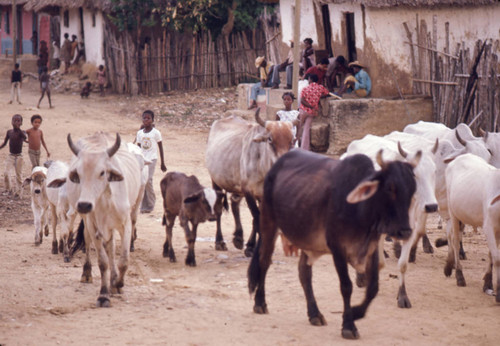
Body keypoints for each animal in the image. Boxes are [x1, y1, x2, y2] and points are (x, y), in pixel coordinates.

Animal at [65, 133, 143, 308]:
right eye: (78, 173)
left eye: (102, 172)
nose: (84, 204)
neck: (105, 201)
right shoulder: (93, 226)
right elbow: (102, 262)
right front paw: (103, 295)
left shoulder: (125, 225)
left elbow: (124, 260)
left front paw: (118, 284)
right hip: (89, 223)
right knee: (89, 242)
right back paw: (87, 273)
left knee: (111, 247)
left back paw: (114, 280)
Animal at [249, 150, 418, 340]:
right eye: (390, 188)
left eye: (413, 189)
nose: (405, 232)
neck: (360, 209)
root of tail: (277, 164)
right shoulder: (338, 248)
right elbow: (346, 286)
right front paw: (349, 325)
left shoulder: (371, 249)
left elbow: (373, 288)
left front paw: (355, 312)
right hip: (268, 223)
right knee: (264, 261)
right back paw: (260, 303)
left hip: (305, 238)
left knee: (304, 272)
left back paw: (314, 314)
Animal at [342, 134, 436, 308]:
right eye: (415, 174)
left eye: (434, 171)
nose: (432, 206)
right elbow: (379, 263)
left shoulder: (411, 229)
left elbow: (403, 264)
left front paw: (403, 296)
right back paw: (360, 278)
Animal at [446, 154, 500, 302]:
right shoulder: (489, 227)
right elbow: (497, 258)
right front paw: (498, 292)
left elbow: (491, 255)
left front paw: (487, 283)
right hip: (453, 213)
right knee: (455, 241)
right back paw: (459, 275)